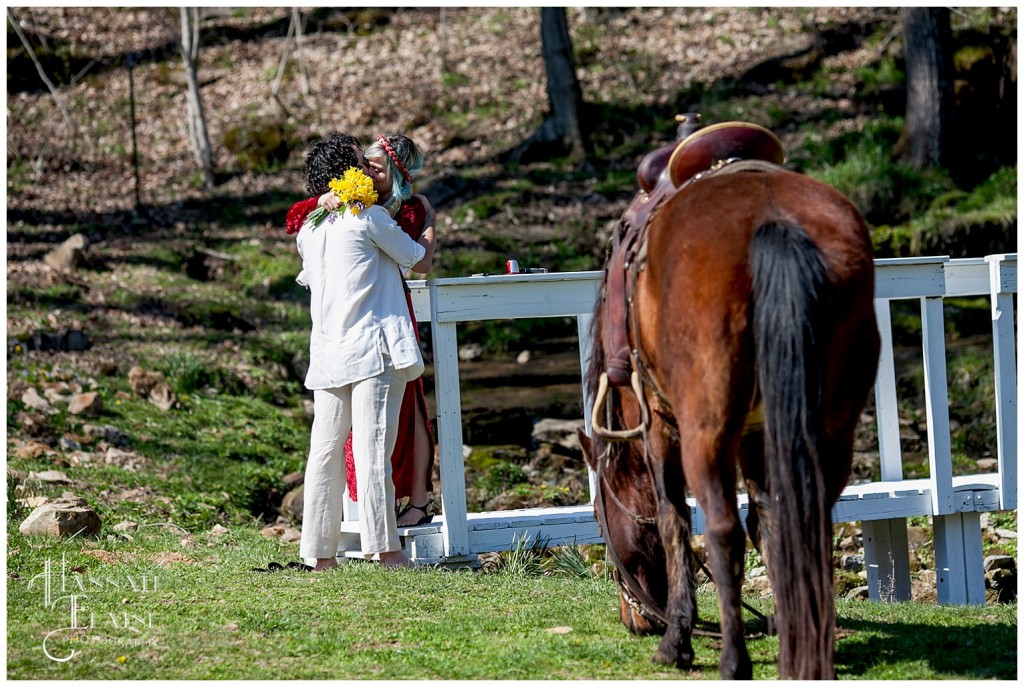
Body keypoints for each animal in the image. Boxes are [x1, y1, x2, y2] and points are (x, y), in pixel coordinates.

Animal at [585, 163, 880, 679]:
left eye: (600, 523)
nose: (635, 619)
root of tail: (772, 219)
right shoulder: (756, 435)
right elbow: (769, 523)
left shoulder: (660, 427)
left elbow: (674, 521)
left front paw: (678, 640)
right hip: (832, 432)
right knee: (809, 524)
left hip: (706, 434)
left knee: (722, 531)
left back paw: (731, 659)